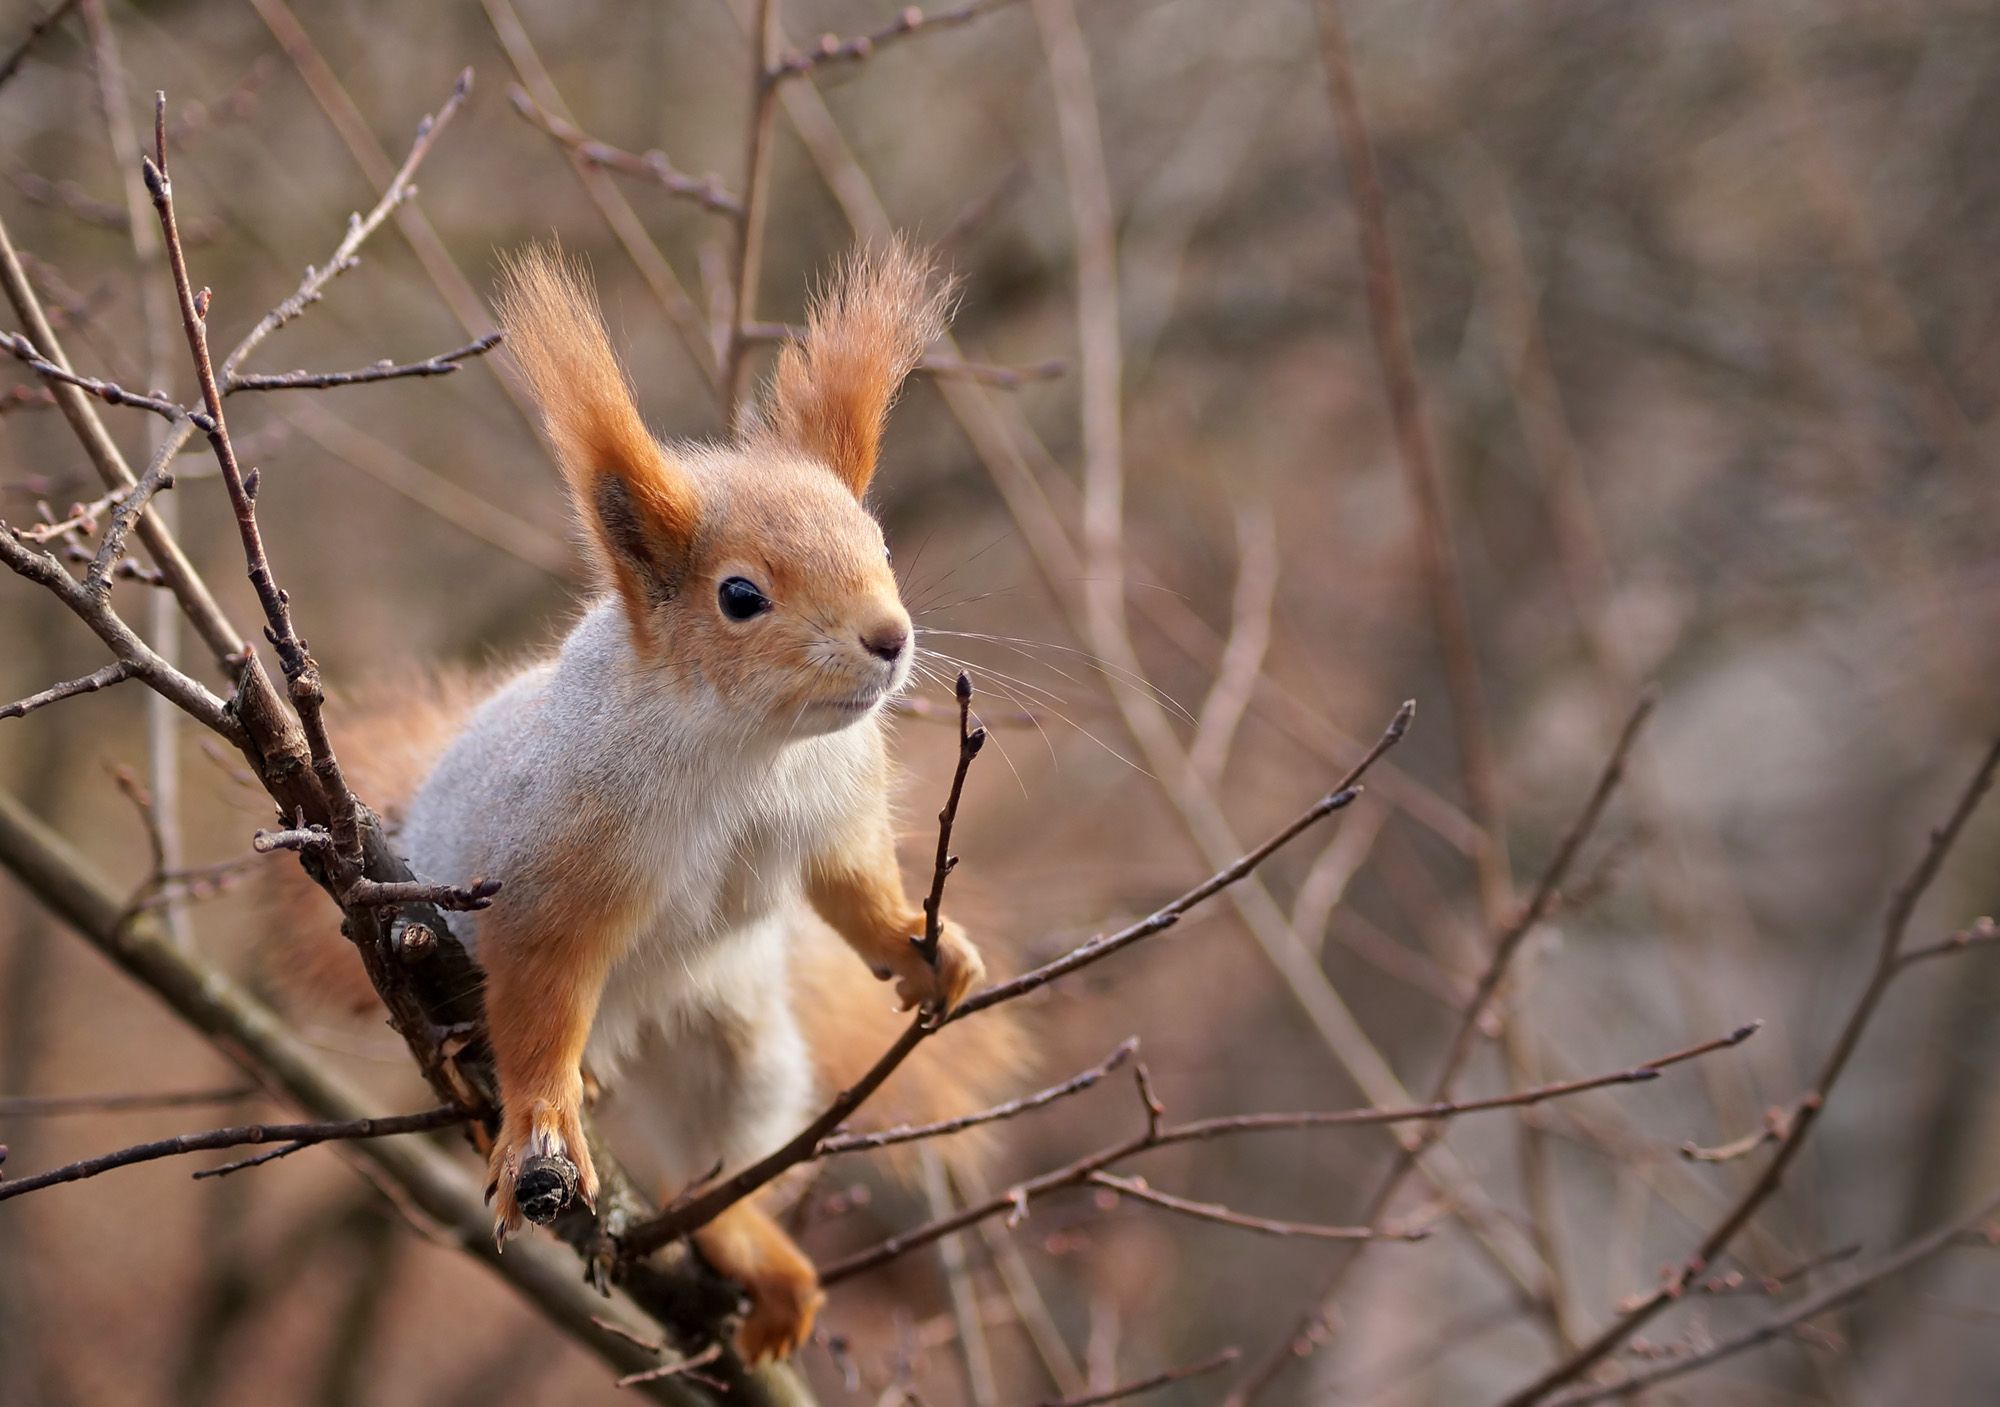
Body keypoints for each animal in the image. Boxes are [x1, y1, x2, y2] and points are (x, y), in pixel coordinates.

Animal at [265, 240, 1021, 1362]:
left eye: (879, 544)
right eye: (741, 596)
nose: (891, 638)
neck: (750, 751)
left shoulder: (834, 806)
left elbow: (849, 888)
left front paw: (925, 947)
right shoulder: (555, 873)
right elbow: (541, 981)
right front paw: (539, 1120)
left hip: (739, 1049)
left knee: (712, 1170)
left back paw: (750, 1250)